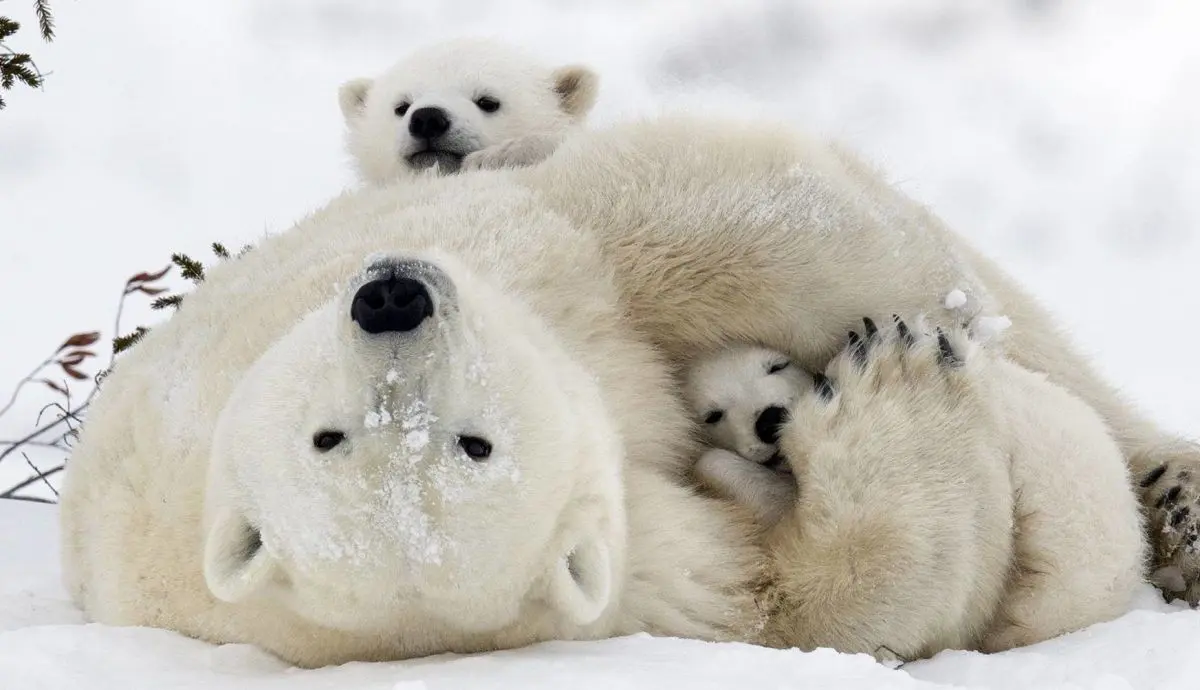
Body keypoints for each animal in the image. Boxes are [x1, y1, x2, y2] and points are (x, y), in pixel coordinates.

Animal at [59, 115, 1189, 668]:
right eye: (479, 442)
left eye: (321, 433)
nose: (393, 300)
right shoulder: (626, 578)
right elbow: (801, 599)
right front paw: (894, 379)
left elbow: (718, 231)